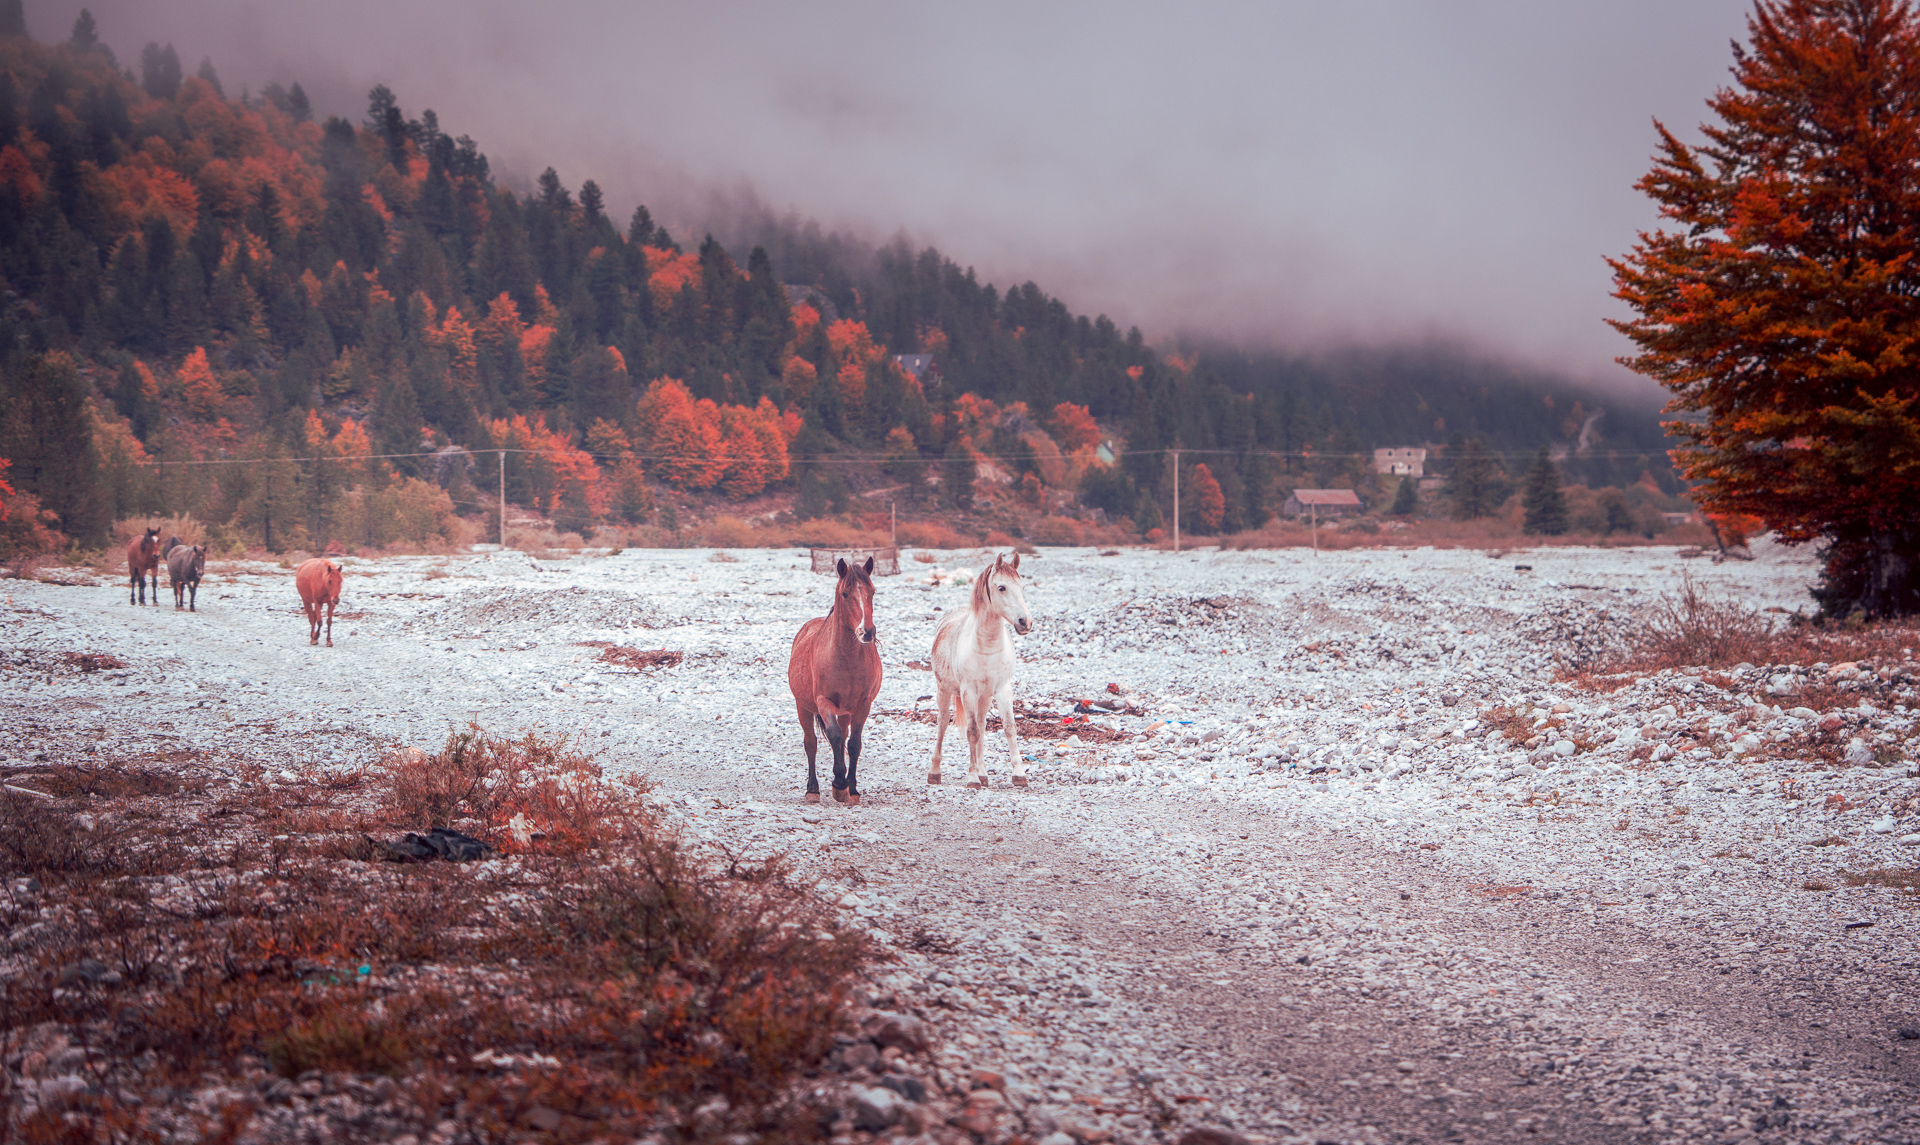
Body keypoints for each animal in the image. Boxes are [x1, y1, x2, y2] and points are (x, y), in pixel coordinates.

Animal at [787, 555, 882, 805]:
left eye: (872, 592)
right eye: (845, 594)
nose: (867, 632)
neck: (846, 660)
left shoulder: (862, 705)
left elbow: (853, 743)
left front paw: (852, 789)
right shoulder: (824, 701)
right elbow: (833, 736)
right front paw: (839, 784)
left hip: (845, 712)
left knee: (843, 739)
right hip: (803, 707)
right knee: (811, 743)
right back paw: (813, 789)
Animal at [929, 552, 1035, 789]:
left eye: (1022, 587)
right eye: (1001, 587)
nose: (1025, 622)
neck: (987, 646)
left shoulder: (1002, 690)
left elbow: (1009, 728)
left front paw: (1019, 774)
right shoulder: (968, 691)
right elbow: (972, 731)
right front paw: (972, 778)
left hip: (984, 697)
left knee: (982, 724)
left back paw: (984, 773)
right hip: (943, 691)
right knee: (942, 724)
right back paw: (935, 772)